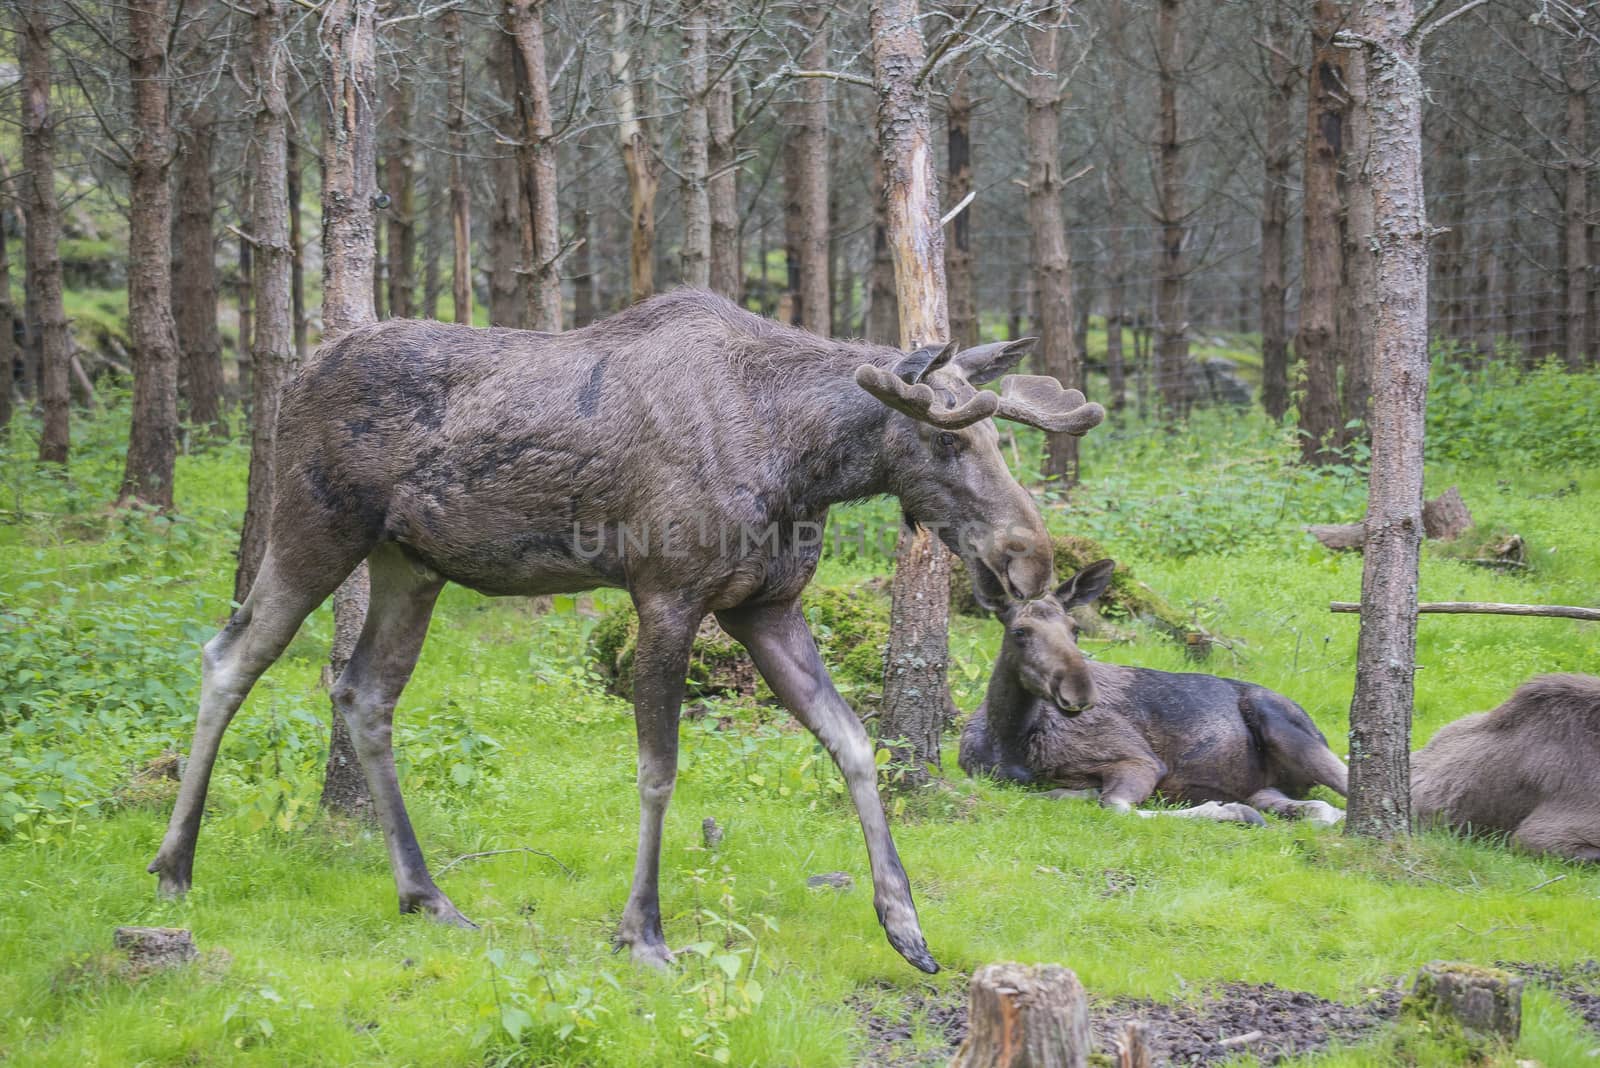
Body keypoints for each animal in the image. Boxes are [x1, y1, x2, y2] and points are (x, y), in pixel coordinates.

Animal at [144, 287, 1107, 972]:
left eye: (1001, 441)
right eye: (946, 442)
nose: (1028, 560)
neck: (801, 463)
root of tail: (293, 375)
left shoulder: (764, 606)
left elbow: (854, 743)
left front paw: (904, 924)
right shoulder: (668, 596)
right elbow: (658, 770)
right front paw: (642, 930)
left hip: (409, 563)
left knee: (362, 690)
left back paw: (427, 894)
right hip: (316, 527)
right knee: (230, 655)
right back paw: (174, 864)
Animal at [960, 559, 1350, 824]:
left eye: (1075, 629)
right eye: (1020, 632)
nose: (1079, 691)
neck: (1010, 739)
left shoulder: (1139, 760)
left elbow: (1115, 807)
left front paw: (1225, 811)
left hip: (1282, 725)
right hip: (1265, 787)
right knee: (1320, 809)